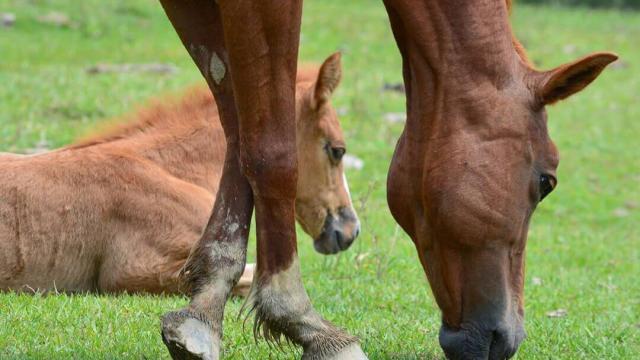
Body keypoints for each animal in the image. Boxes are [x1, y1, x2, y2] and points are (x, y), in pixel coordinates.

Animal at [154, 0, 616, 360]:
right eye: (546, 182)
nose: (507, 337)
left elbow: (237, 127)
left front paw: (205, 307)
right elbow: (270, 150)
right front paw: (302, 320)